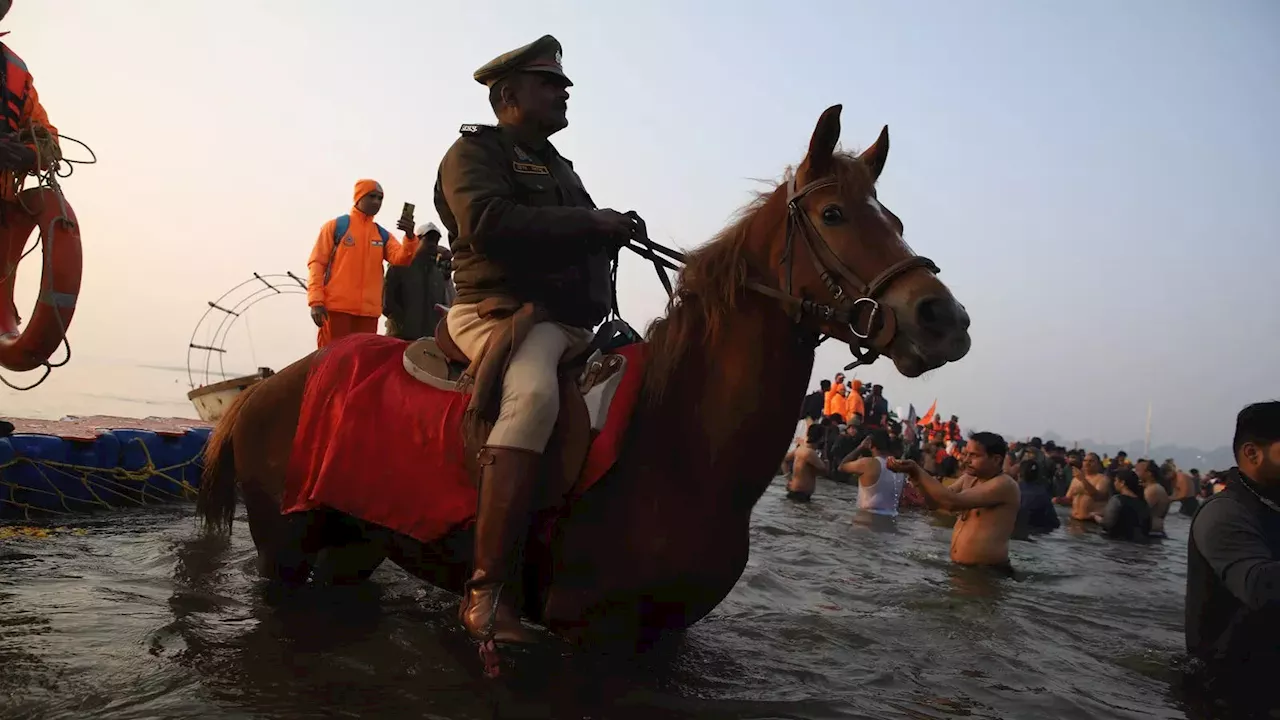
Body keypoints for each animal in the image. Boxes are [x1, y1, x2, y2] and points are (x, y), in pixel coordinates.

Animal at [194, 106, 967, 650]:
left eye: (895, 219)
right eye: (834, 214)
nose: (944, 318)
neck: (684, 445)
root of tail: (265, 387)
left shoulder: (662, 641)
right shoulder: (590, 633)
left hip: (352, 545)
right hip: (284, 549)